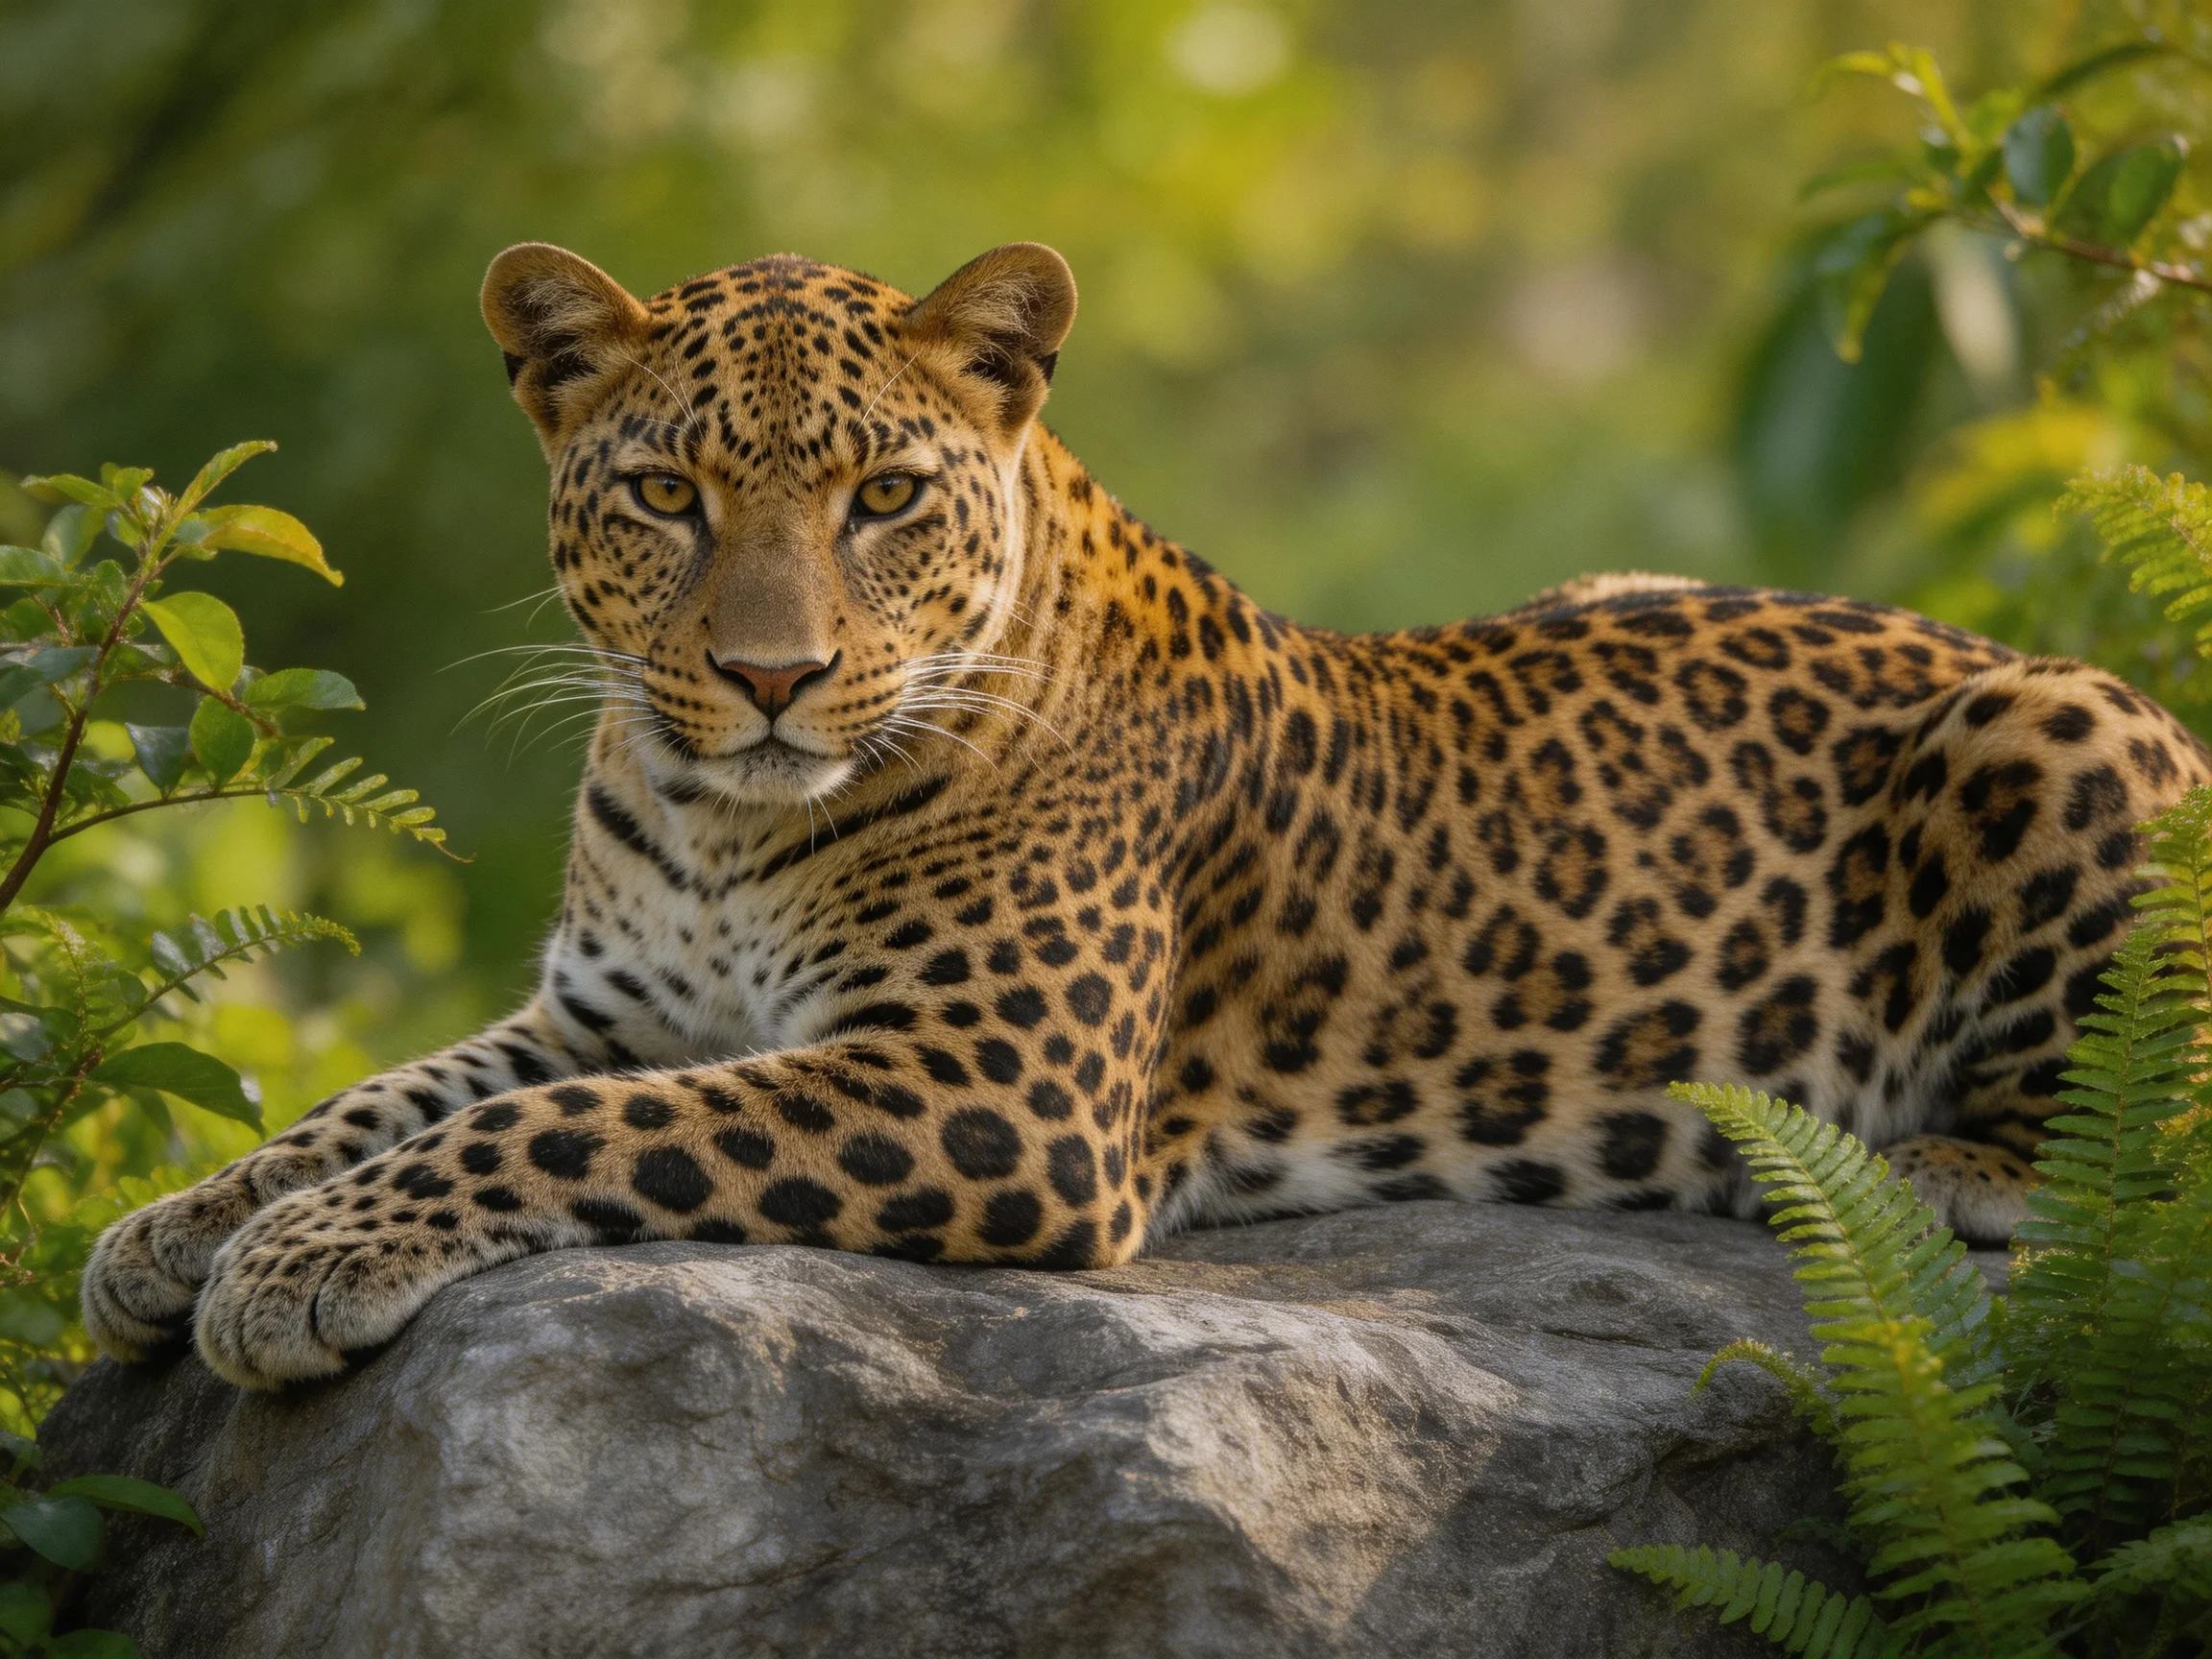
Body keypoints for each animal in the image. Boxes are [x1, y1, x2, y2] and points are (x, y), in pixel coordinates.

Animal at [80, 239, 2211, 1391]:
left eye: (882, 498)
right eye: (669, 494)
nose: (771, 677)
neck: (719, 816)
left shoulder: (992, 1082)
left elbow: (557, 1132)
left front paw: (300, 1265)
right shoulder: (607, 1004)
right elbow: (385, 1097)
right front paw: (177, 1230)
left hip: (2049, 722)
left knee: (2126, 1140)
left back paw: (1915, 1161)